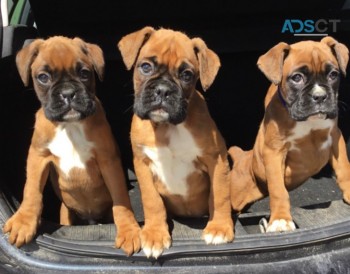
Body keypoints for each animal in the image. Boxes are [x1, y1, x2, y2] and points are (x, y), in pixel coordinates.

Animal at [2, 35, 141, 255]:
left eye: (84, 73)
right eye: (43, 77)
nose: (68, 93)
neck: (70, 126)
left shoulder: (108, 161)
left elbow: (121, 199)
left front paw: (129, 230)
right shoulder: (38, 157)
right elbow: (31, 190)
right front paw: (24, 222)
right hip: (66, 213)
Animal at [117, 26, 232, 258]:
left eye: (186, 75)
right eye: (145, 66)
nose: (163, 89)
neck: (167, 127)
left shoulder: (216, 159)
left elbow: (220, 194)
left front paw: (219, 228)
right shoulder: (142, 163)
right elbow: (152, 201)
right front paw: (154, 234)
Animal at [230, 36, 350, 232]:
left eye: (333, 75)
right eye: (297, 78)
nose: (320, 96)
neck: (307, 122)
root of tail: (244, 157)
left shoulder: (335, 138)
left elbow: (344, 169)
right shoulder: (274, 152)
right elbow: (278, 190)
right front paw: (280, 219)